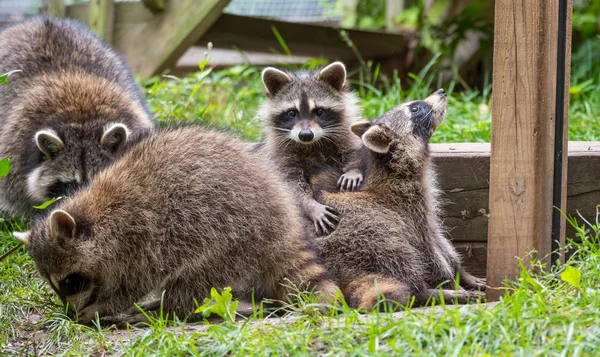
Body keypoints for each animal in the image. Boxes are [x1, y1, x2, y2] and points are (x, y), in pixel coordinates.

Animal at [14, 126, 340, 324]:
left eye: (70, 282)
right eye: (54, 284)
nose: (69, 314)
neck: (94, 214)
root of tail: (283, 224)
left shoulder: (139, 239)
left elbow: (133, 285)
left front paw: (103, 306)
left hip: (230, 235)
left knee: (192, 281)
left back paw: (163, 312)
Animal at [256, 60, 360, 234]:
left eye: (319, 111)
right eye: (292, 113)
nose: (305, 135)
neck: (311, 144)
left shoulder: (344, 136)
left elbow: (354, 150)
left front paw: (354, 169)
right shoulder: (281, 157)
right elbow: (291, 187)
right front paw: (311, 206)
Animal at [312, 89, 486, 312]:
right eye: (415, 108)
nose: (441, 91)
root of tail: (343, 276)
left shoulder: (426, 211)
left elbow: (442, 242)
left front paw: (462, 273)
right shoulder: (409, 213)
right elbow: (429, 253)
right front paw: (451, 282)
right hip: (365, 239)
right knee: (403, 260)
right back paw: (428, 293)